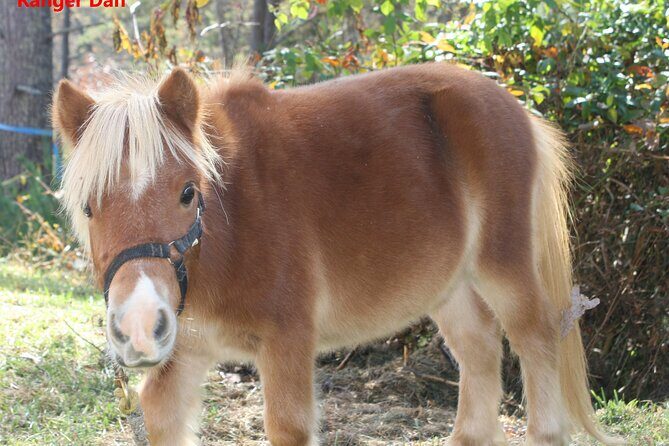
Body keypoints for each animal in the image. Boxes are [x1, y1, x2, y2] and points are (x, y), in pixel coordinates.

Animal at [52, 63, 620, 446]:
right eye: (88, 206)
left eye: (188, 193)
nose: (141, 323)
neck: (227, 226)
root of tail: (518, 110)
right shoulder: (188, 354)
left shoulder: (286, 344)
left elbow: (287, 424)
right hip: (450, 287)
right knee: (479, 351)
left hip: (503, 268)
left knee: (535, 336)